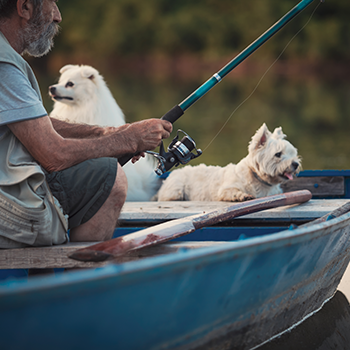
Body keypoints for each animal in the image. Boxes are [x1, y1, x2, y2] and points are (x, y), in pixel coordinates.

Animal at [156, 123, 300, 201]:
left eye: (293, 153)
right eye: (278, 154)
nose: (296, 164)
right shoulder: (225, 189)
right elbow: (233, 191)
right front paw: (243, 196)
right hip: (176, 190)